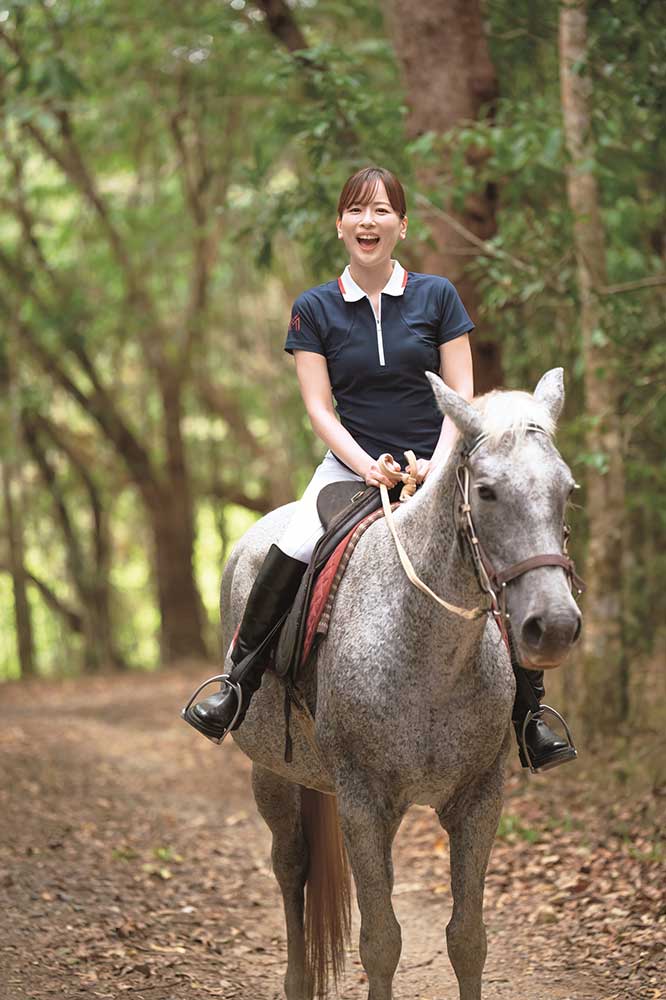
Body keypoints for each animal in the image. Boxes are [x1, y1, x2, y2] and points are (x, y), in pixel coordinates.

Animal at [221, 368, 582, 1000]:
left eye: (566, 489)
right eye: (486, 491)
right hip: (270, 771)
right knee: (290, 866)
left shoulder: (479, 799)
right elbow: (381, 942)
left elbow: (468, 939)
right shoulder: (365, 803)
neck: (430, 651)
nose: (555, 626)